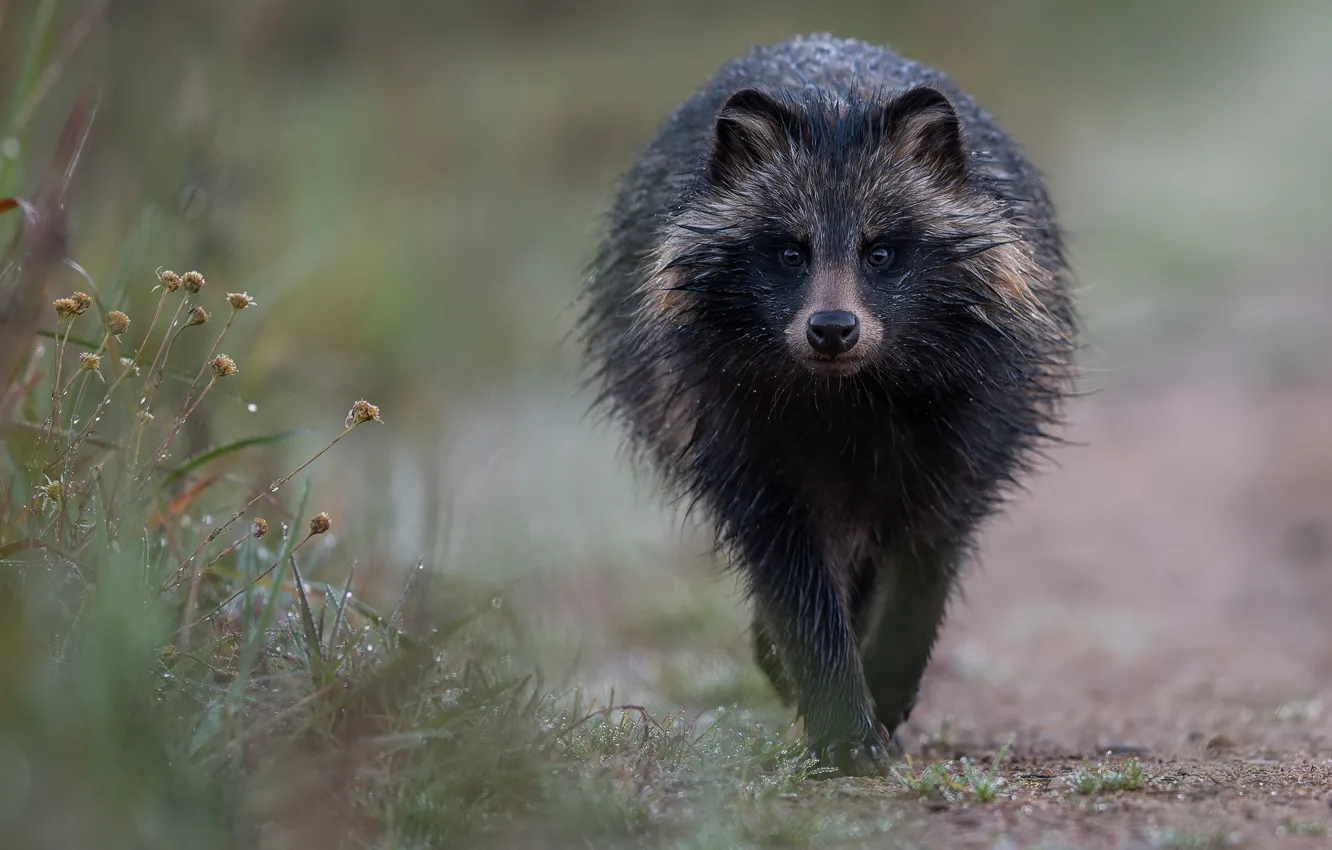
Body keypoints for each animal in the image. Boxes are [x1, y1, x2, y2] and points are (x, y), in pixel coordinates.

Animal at [577, 33, 1078, 776]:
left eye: (882, 252)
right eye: (789, 251)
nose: (833, 328)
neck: (850, 389)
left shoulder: (968, 420)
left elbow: (926, 558)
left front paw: (887, 682)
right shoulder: (735, 421)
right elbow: (793, 571)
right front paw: (838, 710)